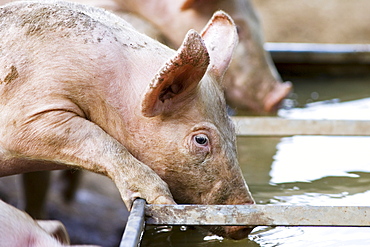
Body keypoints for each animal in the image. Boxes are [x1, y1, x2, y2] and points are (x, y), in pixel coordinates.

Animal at [0, 0, 254, 239]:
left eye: (232, 129)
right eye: (201, 140)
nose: (246, 219)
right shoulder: (27, 115)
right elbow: (98, 139)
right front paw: (163, 202)